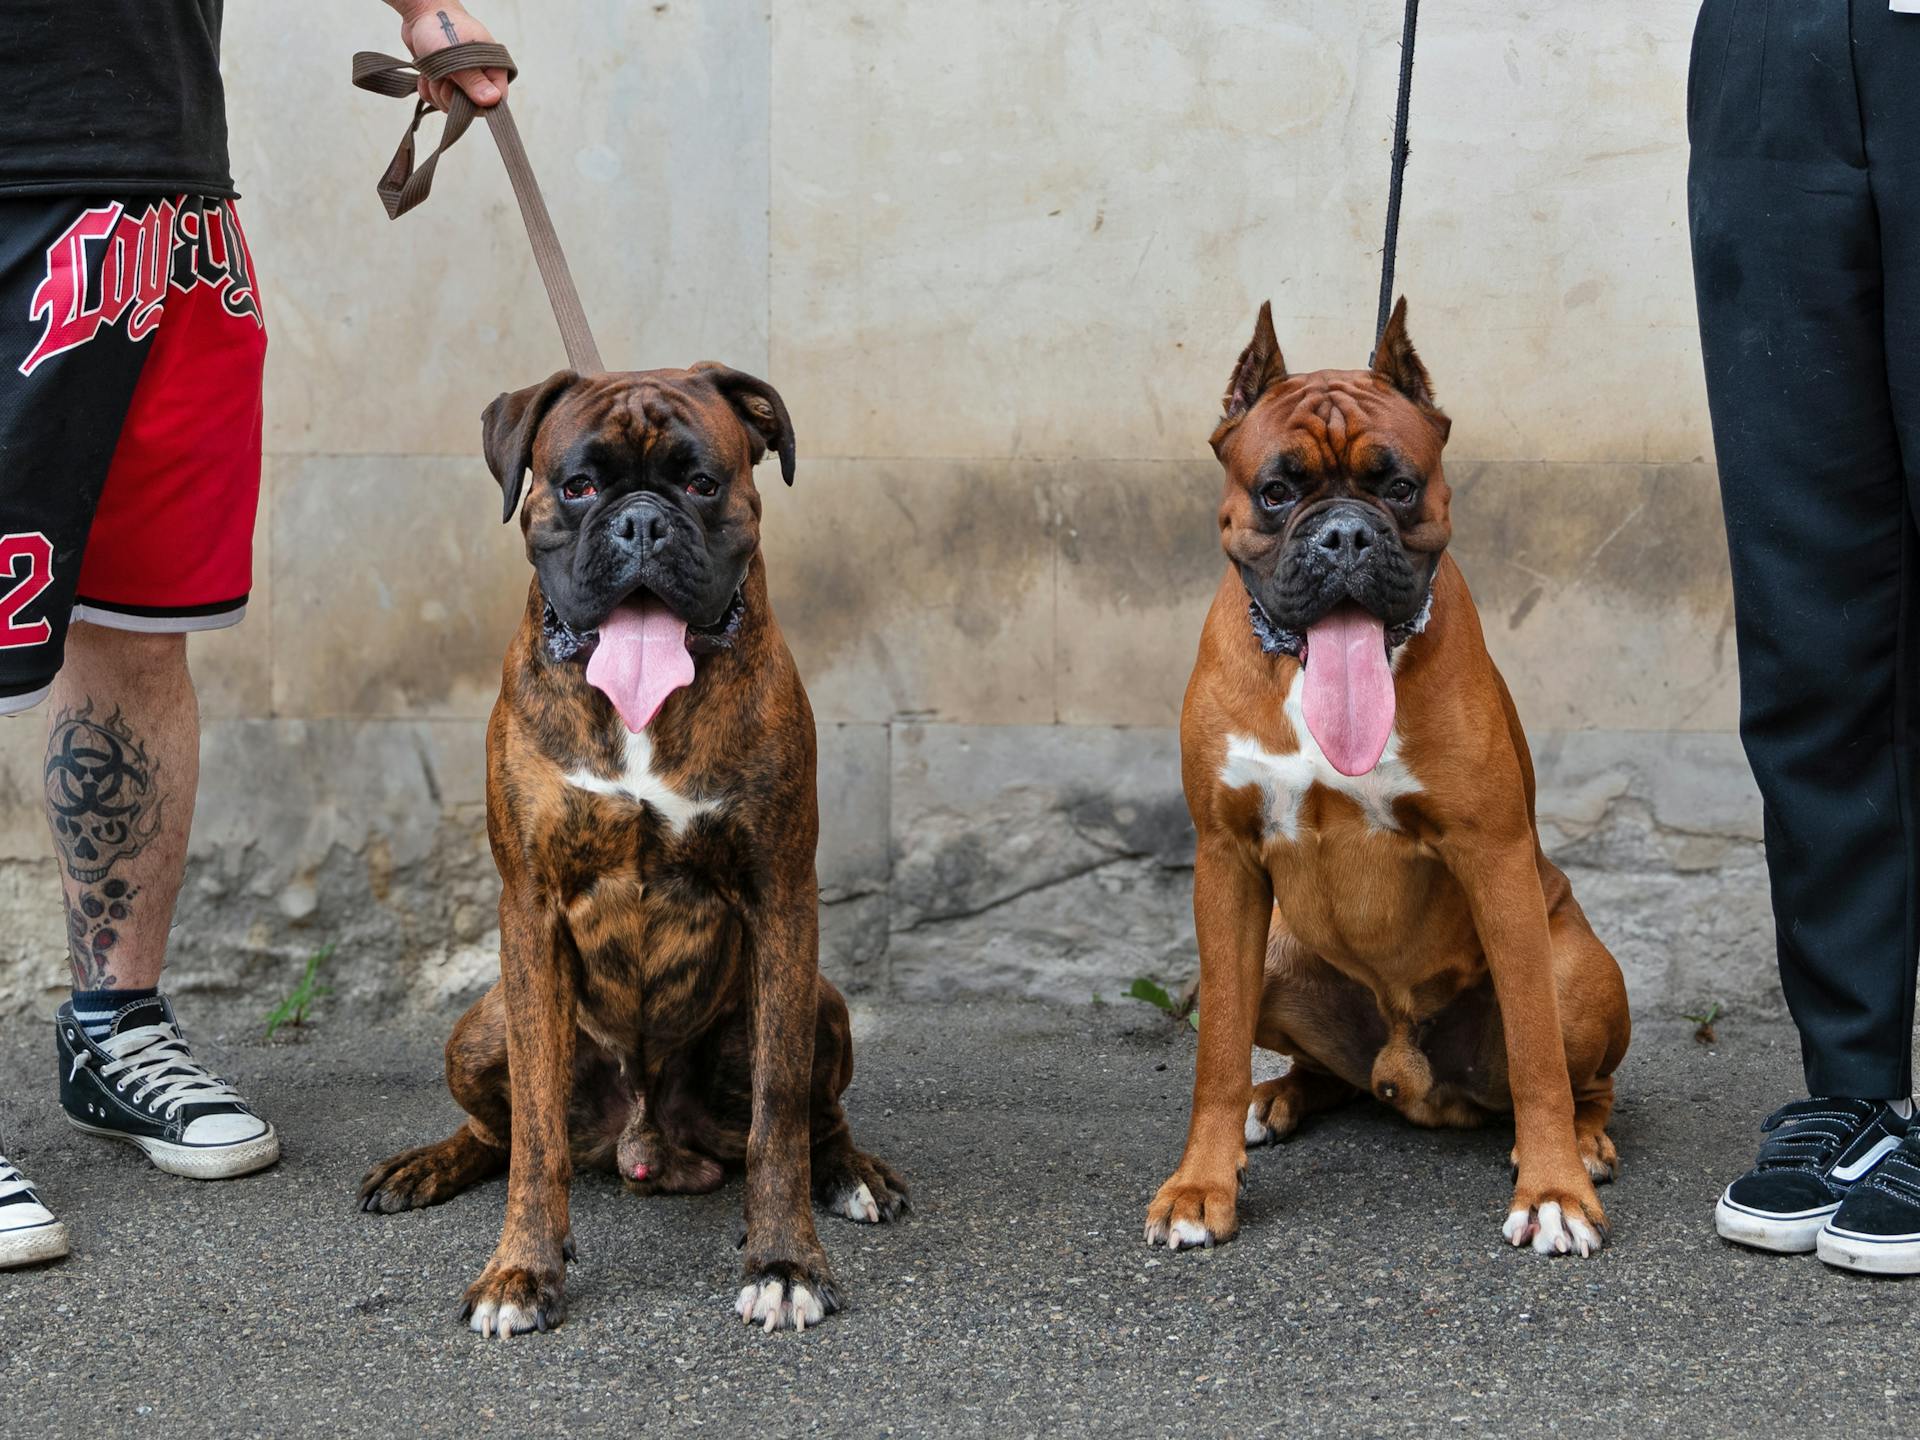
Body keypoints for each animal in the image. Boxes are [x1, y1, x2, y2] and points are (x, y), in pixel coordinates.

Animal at [359, 362, 906, 1344]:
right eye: (578, 485)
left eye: (701, 483)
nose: (642, 522)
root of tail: (648, 1141)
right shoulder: (530, 908)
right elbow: (535, 1134)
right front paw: (520, 1273)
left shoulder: (781, 896)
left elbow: (779, 1116)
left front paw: (785, 1266)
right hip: (477, 1029)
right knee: (498, 1135)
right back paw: (426, 1164)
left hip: (824, 1004)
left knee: (819, 1117)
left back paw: (852, 1174)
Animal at [1144, 301, 1628, 1259]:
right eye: (1277, 491)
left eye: (1399, 487)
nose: (1344, 534)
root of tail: (1406, 1076)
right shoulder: (1225, 862)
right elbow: (1215, 1055)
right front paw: (1200, 1186)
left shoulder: (1495, 859)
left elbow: (1538, 1055)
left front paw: (1552, 1189)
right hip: (1276, 956)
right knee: (1319, 1069)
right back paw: (1275, 1098)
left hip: (1578, 970)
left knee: (1581, 1079)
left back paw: (1584, 1144)